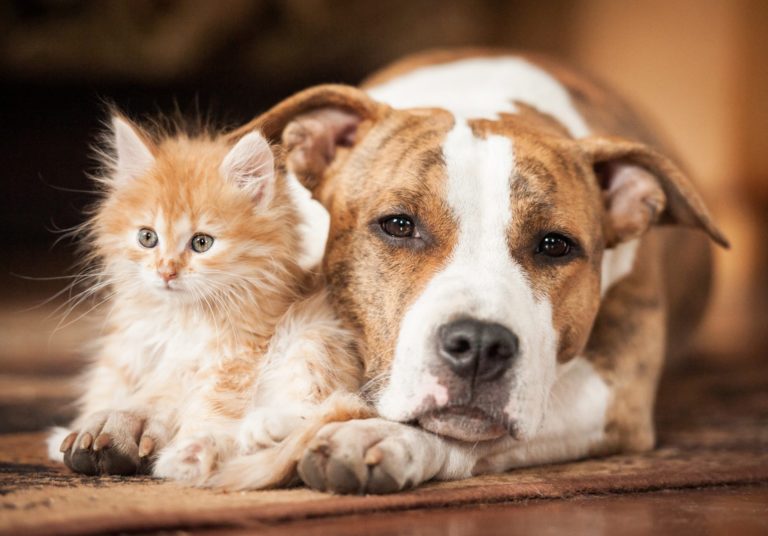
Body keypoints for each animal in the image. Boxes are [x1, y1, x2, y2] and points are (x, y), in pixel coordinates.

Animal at [48, 115, 366, 484]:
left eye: (202, 243)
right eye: (147, 238)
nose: (166, 271)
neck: (179, 318)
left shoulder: (239, 353)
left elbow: (211, 401)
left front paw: (188, 452)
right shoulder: (128, 349)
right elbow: (113, 390)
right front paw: (80, 430)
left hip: (315, 336)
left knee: (327, 408)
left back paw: (254, 431)